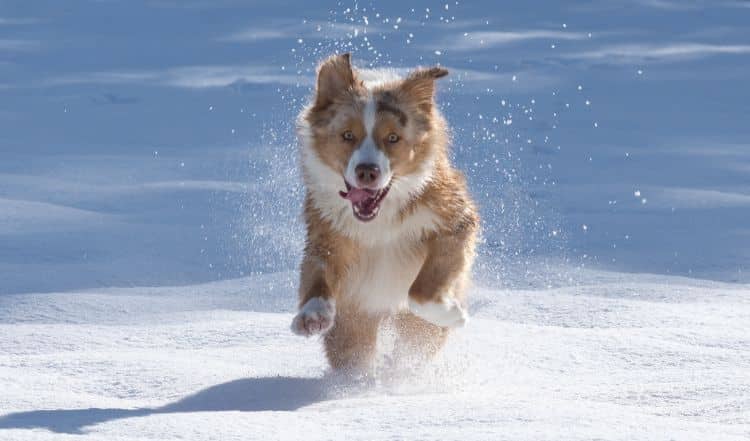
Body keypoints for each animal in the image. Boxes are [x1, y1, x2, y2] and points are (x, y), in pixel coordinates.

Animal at [290, 52, 478, 372]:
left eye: (393, 138)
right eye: (347, 135)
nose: (367, 171)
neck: (378, 220)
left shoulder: (454, 220)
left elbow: (420, 292)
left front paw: (454, 313)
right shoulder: (326, 233)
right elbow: (317, 274)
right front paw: (312, 315)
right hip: (353, 327)